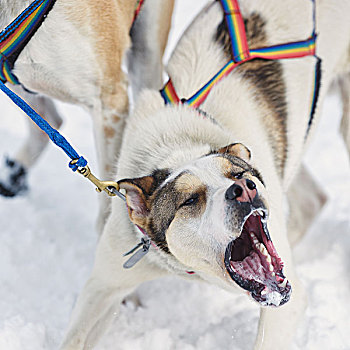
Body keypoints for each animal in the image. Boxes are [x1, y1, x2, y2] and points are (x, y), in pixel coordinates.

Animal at [60, 0, 350, 350]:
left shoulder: (284, 308)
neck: (180, 147)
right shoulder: (103, 285)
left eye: (239, 174)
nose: (244, 188)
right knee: (311, 200)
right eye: (189, 200)